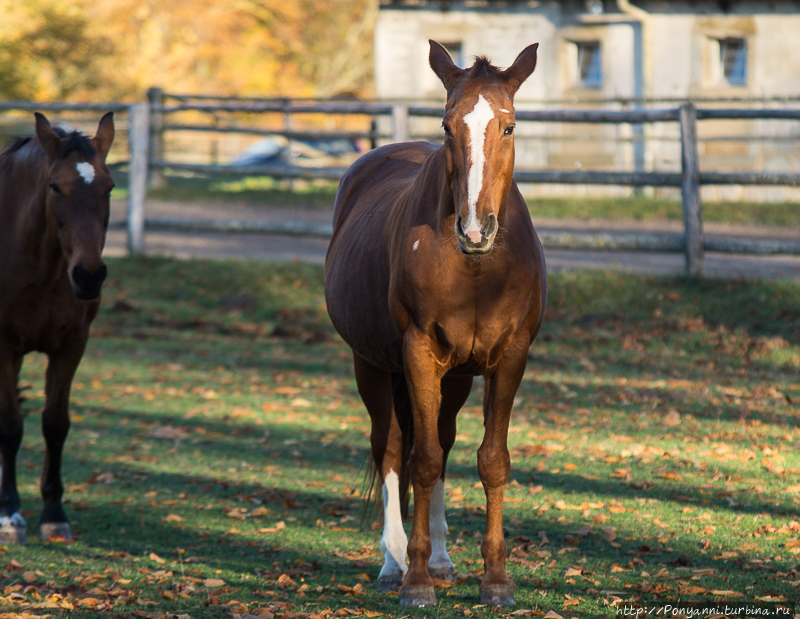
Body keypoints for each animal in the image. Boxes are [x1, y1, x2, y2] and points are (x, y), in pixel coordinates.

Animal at [0, 111, 114, 544]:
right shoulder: (4, 346)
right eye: (55, 186)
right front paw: (9, 515)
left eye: (109, 186)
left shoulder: (71, 345)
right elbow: (10, 426)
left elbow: (55, 424)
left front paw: (53, 513)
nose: (89, 275)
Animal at [324, 43, 544, 612]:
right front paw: (416, 582)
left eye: (509, 126)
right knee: (391, 448)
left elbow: (490, 461)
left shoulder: (509, 358)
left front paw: (496, 580)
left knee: (442, 443)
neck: (476, 269)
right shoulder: (418, 354)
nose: (475, 229)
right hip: (371, 365)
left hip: (458, 378)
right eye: (448, 126)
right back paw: (394, 564)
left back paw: (444, 562)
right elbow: (419, 461)